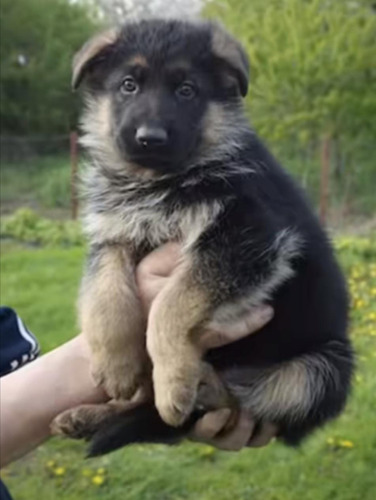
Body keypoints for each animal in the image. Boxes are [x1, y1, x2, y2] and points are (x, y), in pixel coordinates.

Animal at [51, 18, 354, 458]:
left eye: (187, 90)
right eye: (128, 85)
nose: (150, 137)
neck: (161, 181)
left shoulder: (251, 237)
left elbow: (171, 304)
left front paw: (175, 380)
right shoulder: (116, 233)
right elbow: (104, 290)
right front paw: (115, 363)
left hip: (325, 369)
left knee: (245, 400)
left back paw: (205, 388)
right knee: (147, 404)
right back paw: (90, 415)